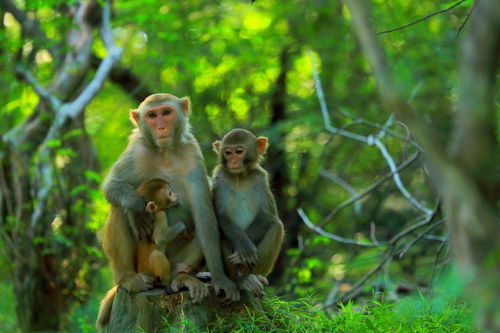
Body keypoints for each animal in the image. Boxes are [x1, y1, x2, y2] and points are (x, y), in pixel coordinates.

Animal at [212, 127, 286, 296]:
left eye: (239, 152)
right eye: (227, 152)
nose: (233, 162)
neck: (239, 177)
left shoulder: (261, 178)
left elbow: (267, 216)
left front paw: (243, 252)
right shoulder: (219, 177)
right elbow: (221, 216)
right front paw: (244, 246)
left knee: (277, 226)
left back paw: (255, 276)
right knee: (224, 237)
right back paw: (242, 281)